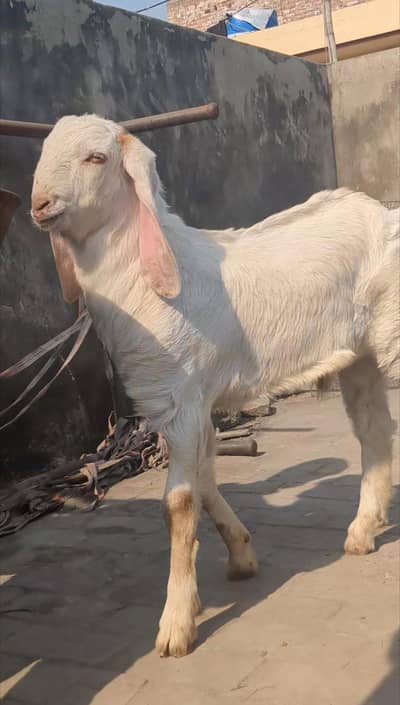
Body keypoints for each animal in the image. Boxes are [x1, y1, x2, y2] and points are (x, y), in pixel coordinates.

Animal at [31, 114, 399, 657]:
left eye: (96, 158)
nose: (40, 205)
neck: (145, 278)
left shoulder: (180, 398)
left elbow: (179, 503)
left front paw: (175, 626)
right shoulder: (186, 402)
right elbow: (203, 481)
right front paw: (241, 557)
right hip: (360, 353)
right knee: (374, 431)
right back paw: (362, 530)